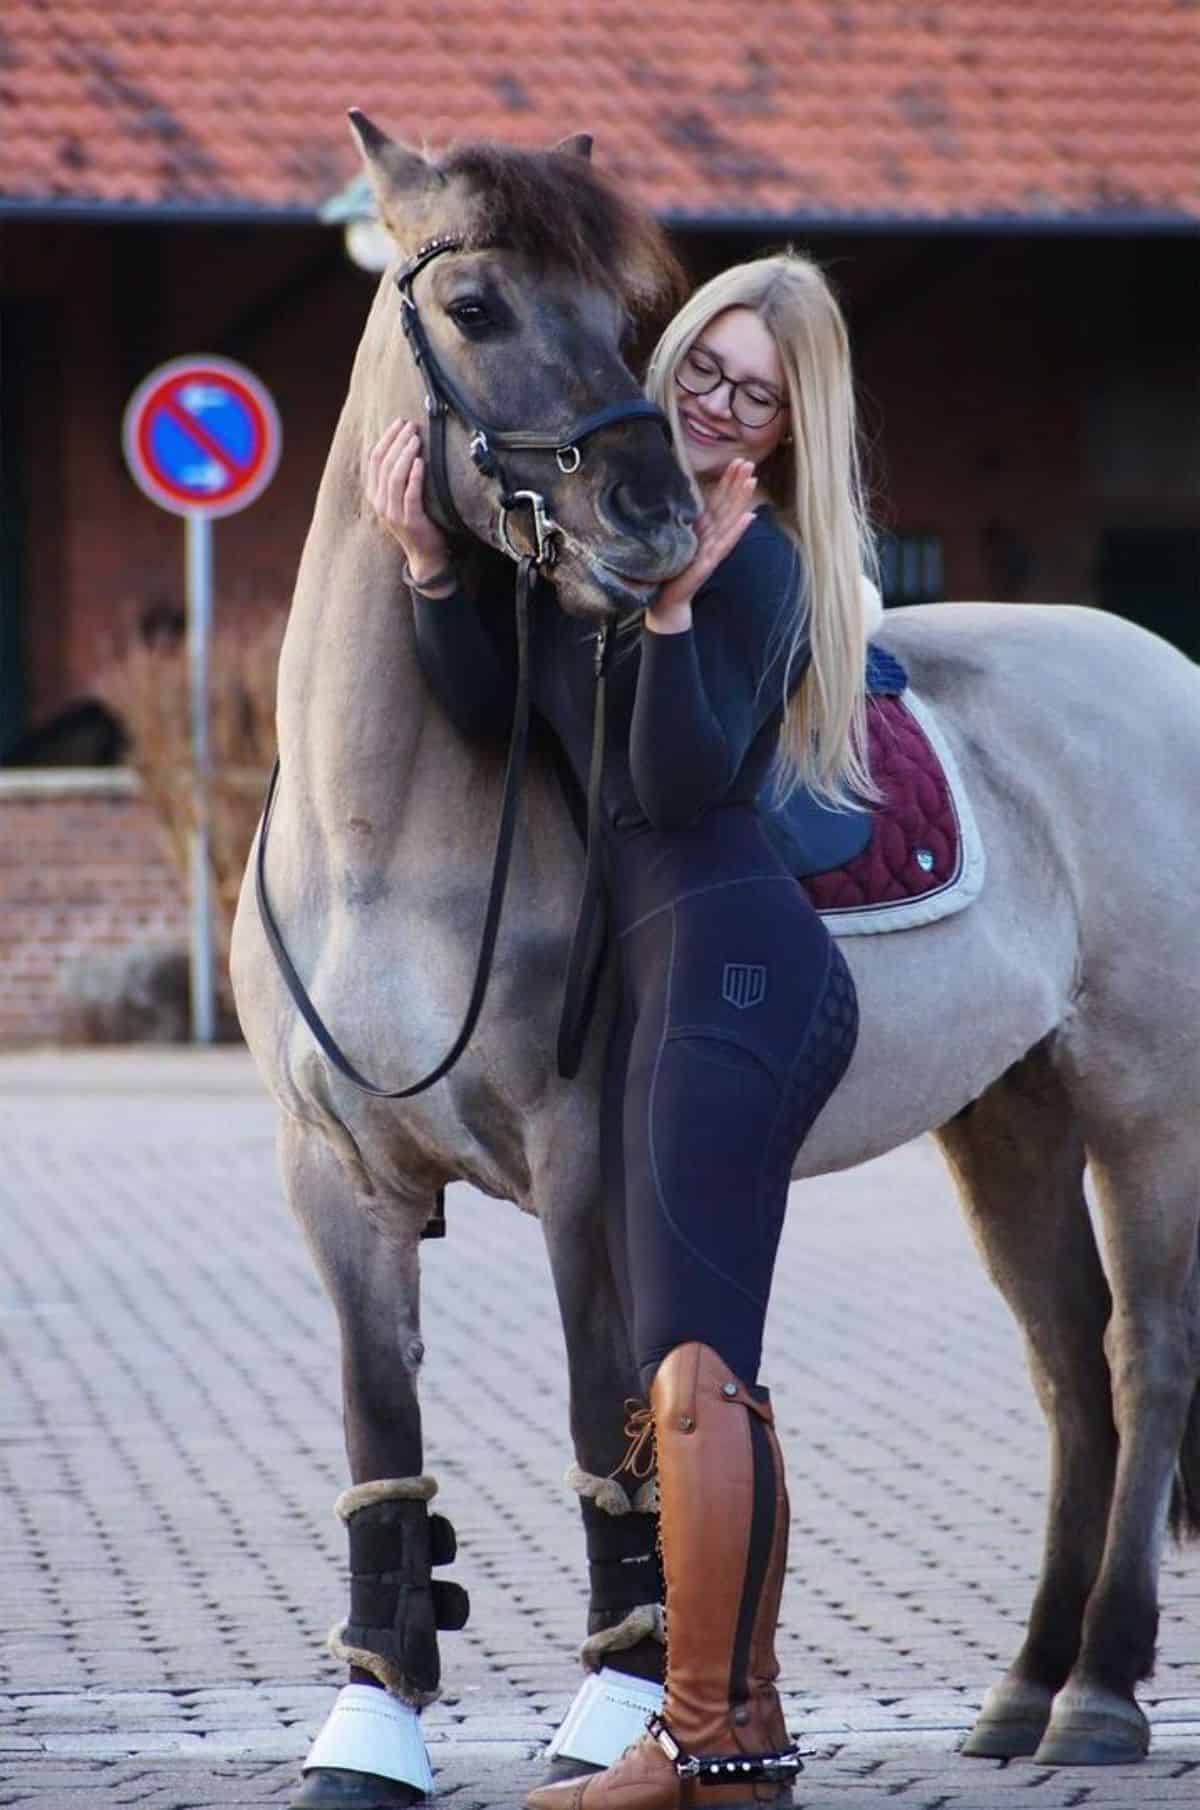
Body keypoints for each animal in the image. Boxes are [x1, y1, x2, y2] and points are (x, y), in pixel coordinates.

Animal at [231, 120, 1200, 1802]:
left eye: (627, 318)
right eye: (475, 306)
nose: (654, 524)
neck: (377, 843)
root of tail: (1167, 670)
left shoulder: (578, 1157)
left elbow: (603, 1407)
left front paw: (613, 1713)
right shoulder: (334, 1175)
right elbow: (380, 1438)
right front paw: (370, 1732)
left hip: (1145, 1106)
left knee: (1143, 1360)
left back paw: (1102, 1690)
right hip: (1009, 1117)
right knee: (1068, 1367)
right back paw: (1022, 1689)